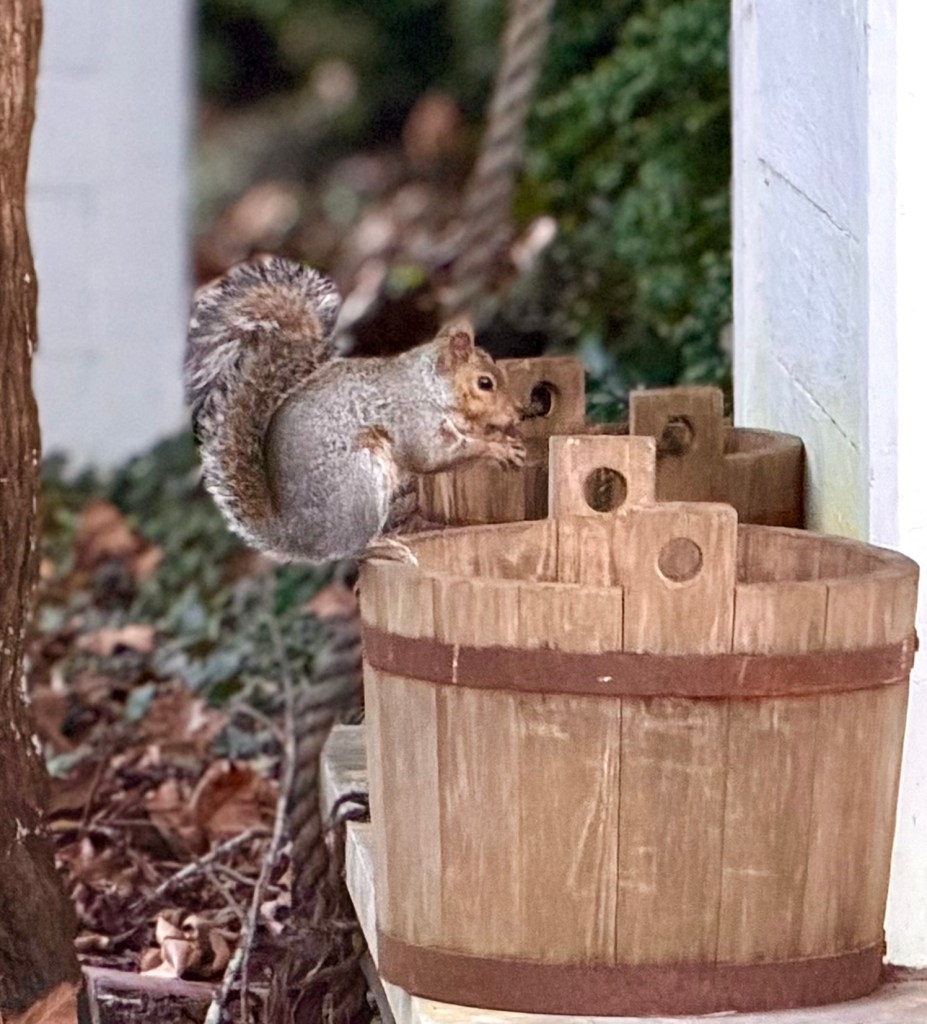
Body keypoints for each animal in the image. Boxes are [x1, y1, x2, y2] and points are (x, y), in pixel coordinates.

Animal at [184, 256, 526, 563]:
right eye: (485, 383)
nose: (517, 415)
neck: (429, 387)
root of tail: (297, 538)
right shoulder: (412, 419)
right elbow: (431, 456)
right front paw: (497, 448)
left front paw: (498, 435)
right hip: (361, 481)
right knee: (350, 549)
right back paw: (384, 547)